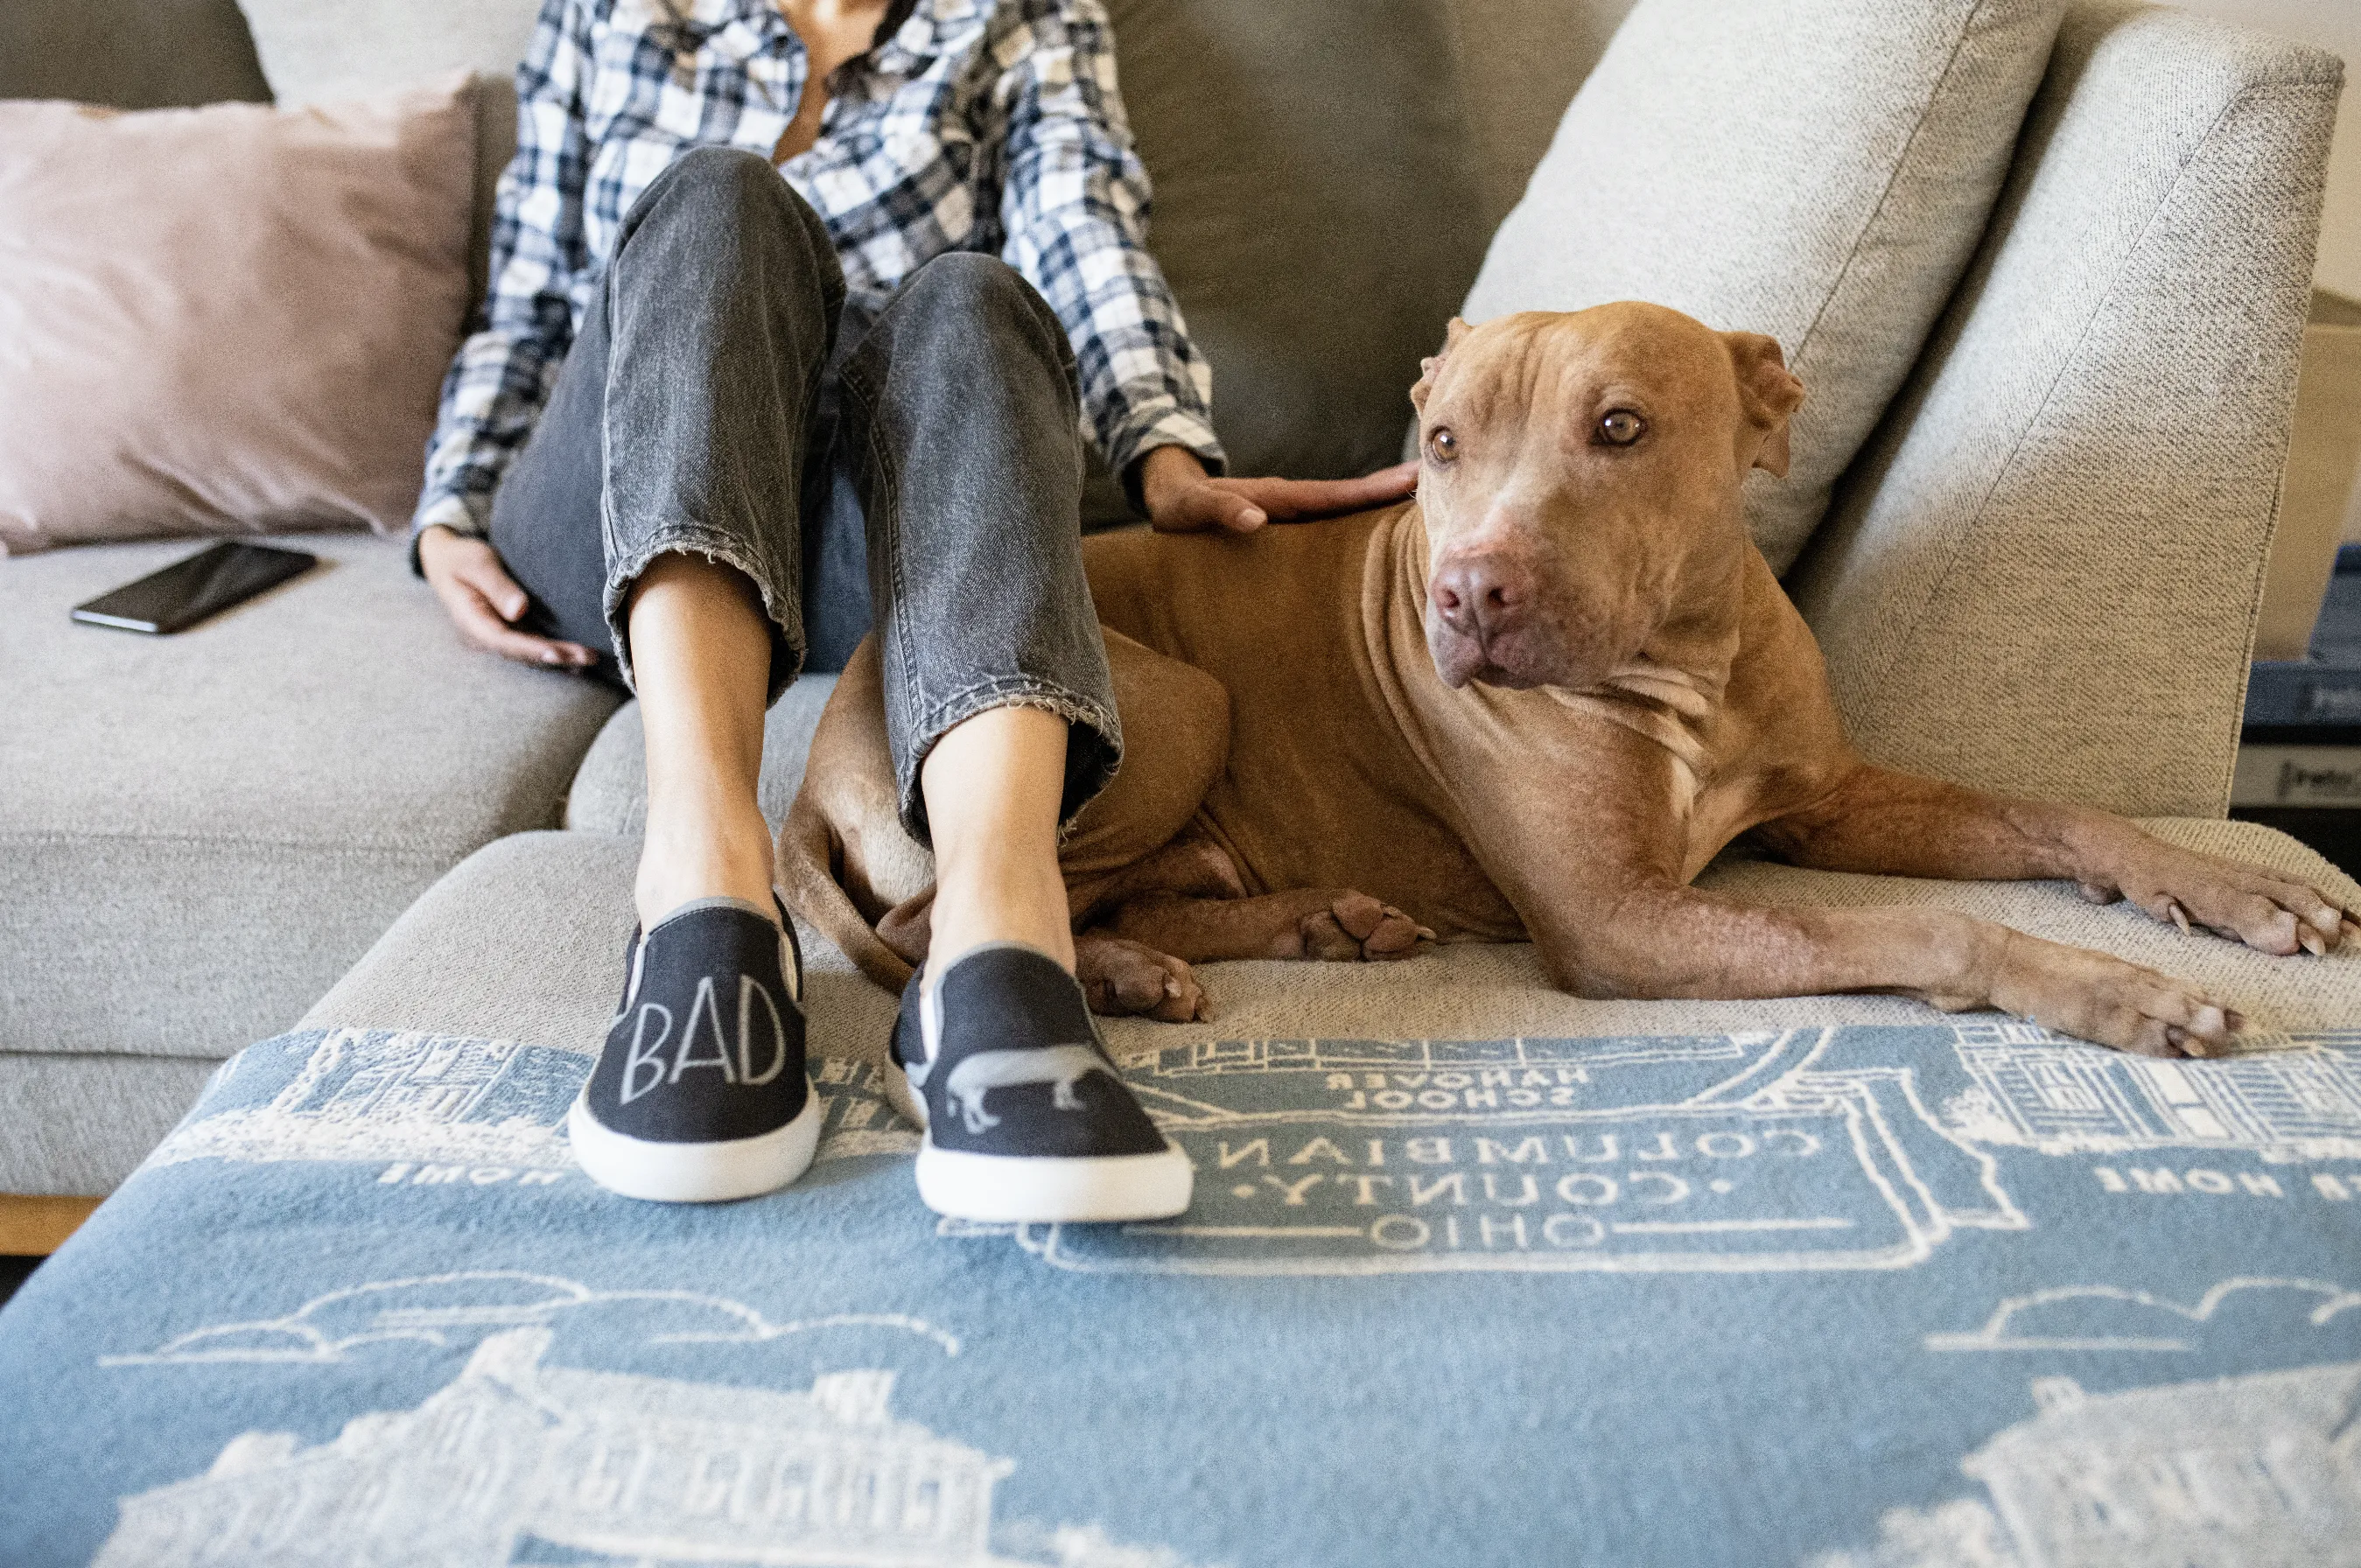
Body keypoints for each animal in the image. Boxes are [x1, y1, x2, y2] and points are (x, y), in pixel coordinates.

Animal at [783, 299, 2351, 1058]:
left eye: (1620, 427)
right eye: (1440, 443)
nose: (1468, 594)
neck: (1687, 667)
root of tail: (813, 756)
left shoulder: (1826, 806)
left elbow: (2054, 815)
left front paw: (2236, 890)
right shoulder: (1624, 924)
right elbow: (1935, 931)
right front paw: (2117, 992)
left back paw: (1300, 926)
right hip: (1175, 707)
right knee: (943, 916)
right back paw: (1127, 968)